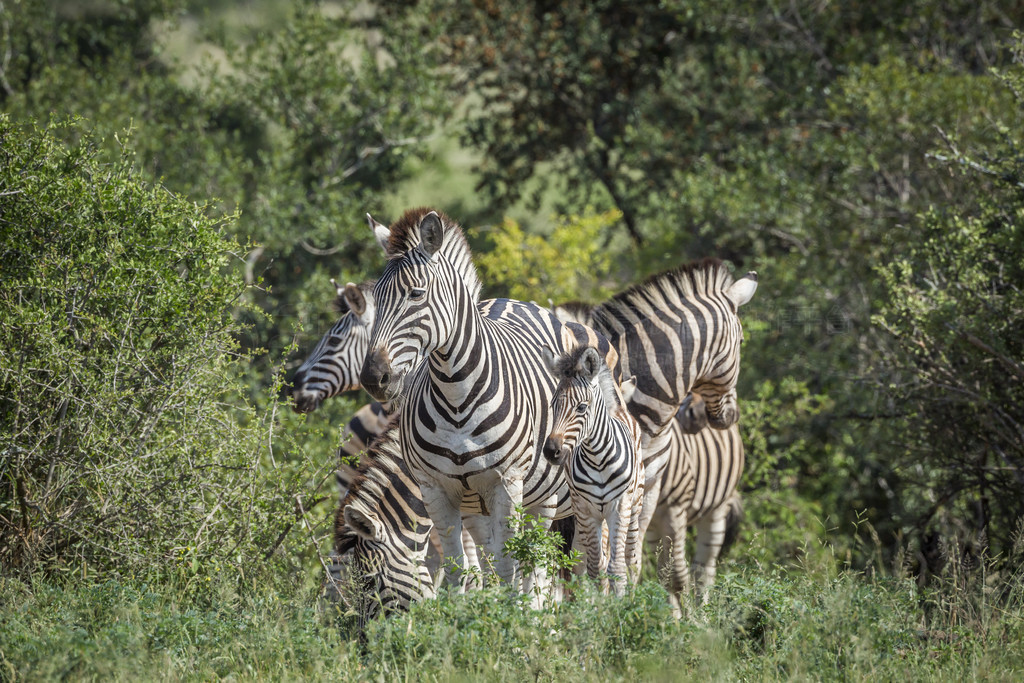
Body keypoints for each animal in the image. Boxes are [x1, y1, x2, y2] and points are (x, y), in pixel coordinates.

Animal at [540, 344, 643, 593]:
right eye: (553, 405)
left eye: (581, 407)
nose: (551, 451)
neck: (598, 460)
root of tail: (620, 408)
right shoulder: (585, 510)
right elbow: (595, 569)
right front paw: (597, 604)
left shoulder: (620, 506)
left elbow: (617, 568)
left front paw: (620, 603)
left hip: (635, 506)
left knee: (632, 561)